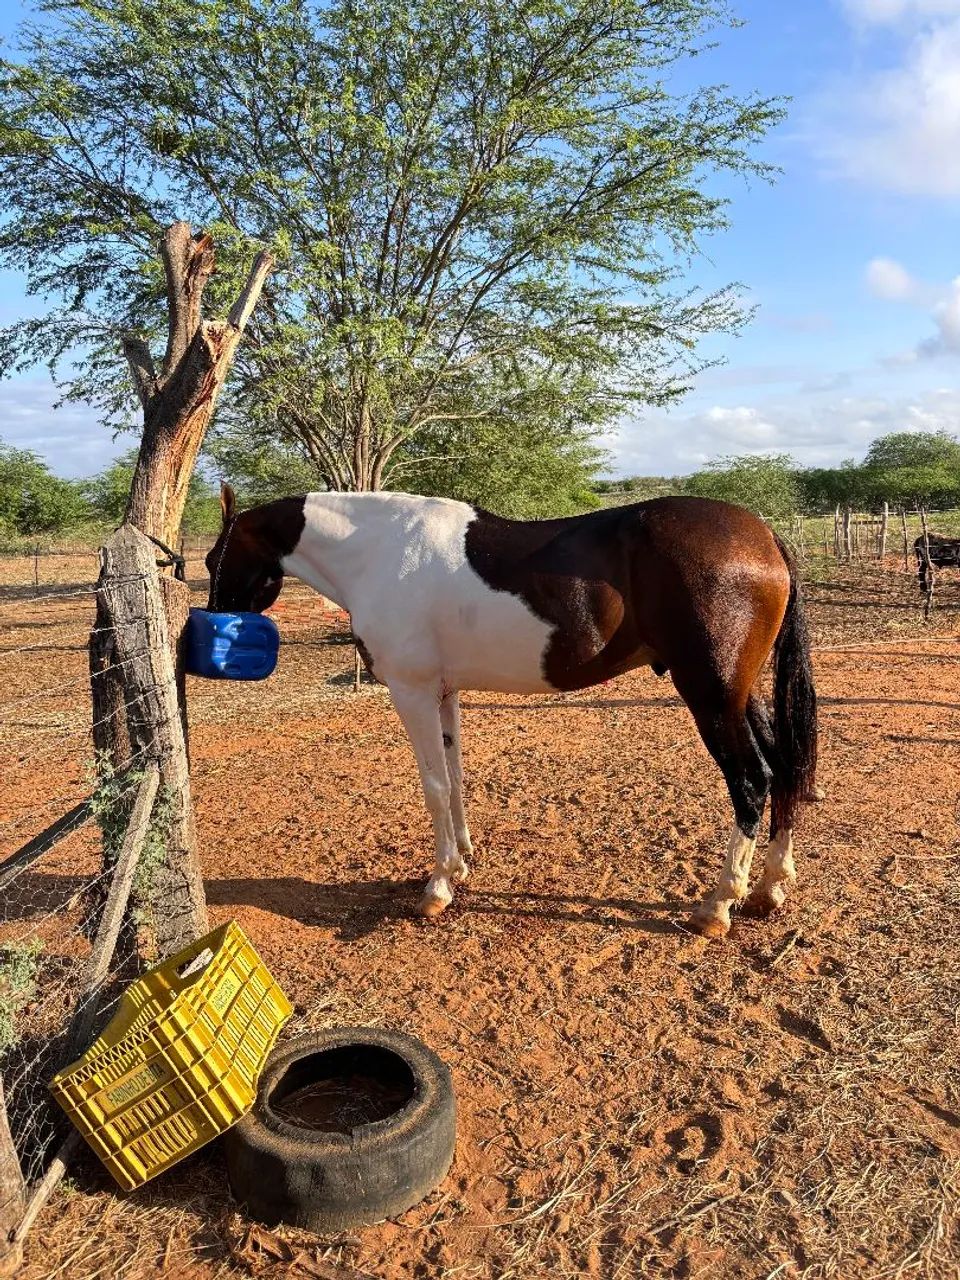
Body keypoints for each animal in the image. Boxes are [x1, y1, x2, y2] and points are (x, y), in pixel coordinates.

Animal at [205, 483, 817, 939]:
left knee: (751, 779)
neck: (380, 551)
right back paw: (769, 888)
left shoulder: (411, 691)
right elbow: (454, 778)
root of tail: (764, 535)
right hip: (741, 696)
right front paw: (462, 861)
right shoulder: (444, 693)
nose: (214, 622)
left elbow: (432, 786)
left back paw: (719, 905)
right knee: (784, 767)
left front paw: (438, 886)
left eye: (214, 559)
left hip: (712, 696)